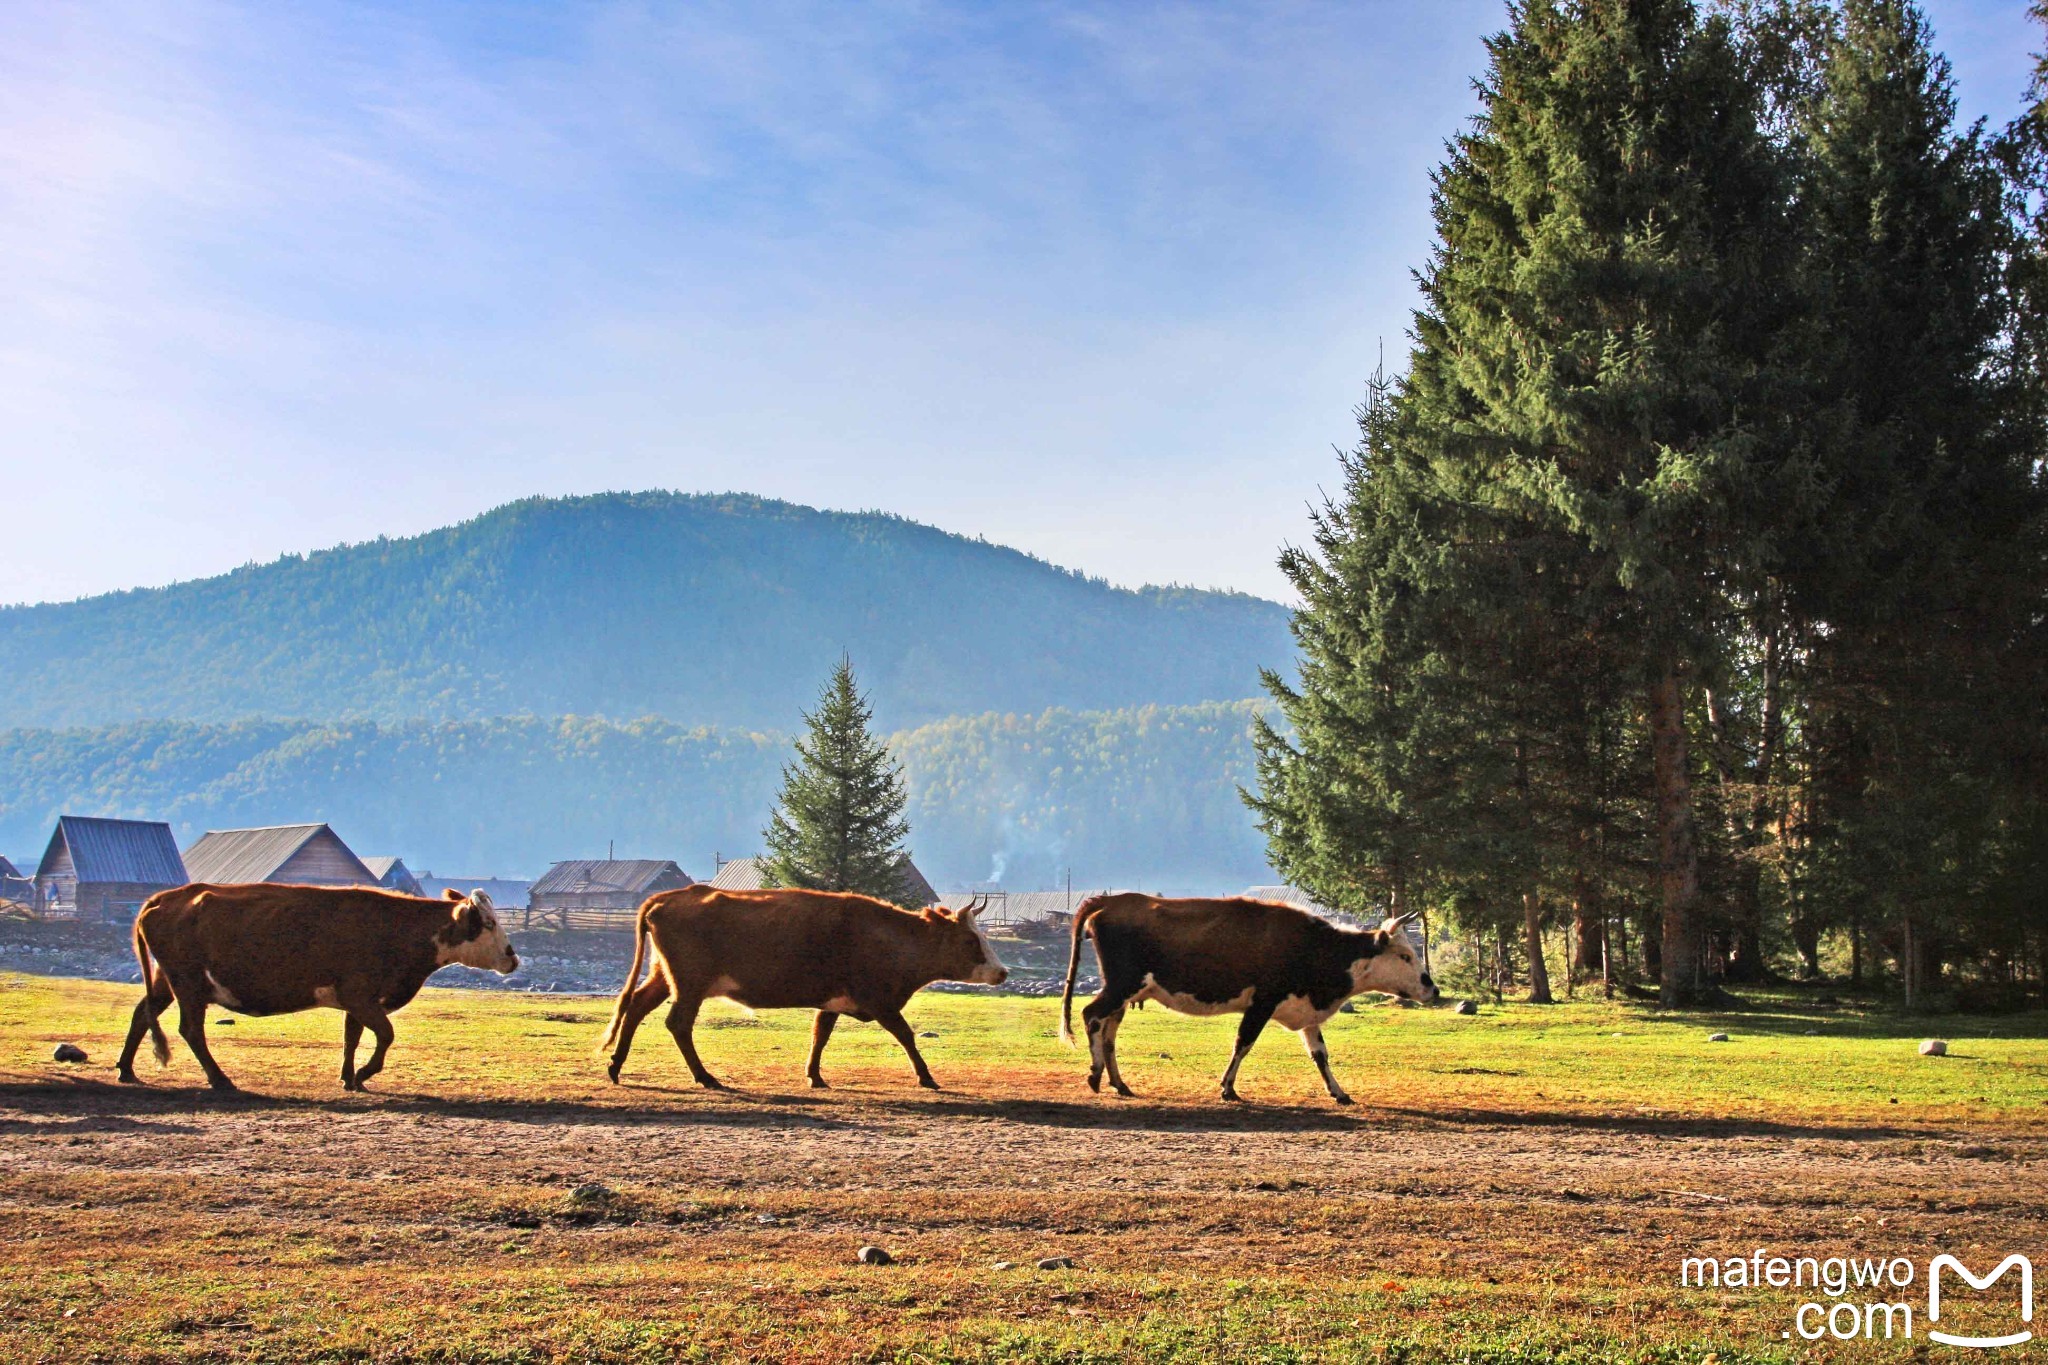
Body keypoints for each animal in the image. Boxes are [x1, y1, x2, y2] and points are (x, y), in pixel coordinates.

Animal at [117, 879, 520, 1096]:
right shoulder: (360, 995)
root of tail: (166, 897)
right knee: (190, 1029)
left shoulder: (358, 1000)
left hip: (165, 979)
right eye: (487, 923)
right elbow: (385, 1035)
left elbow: (352, 1037)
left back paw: (126, 1070)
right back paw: (220, 1079)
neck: (398, 928)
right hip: (187, 983)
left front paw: (349, 1078)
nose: (512, 957)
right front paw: (363, 1073)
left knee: (142, 1014)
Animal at [593, 879, 1007, 1096]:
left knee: (636, 1006)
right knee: (678, 1023)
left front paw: (815, 1076)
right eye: (971, 940)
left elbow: (820, 1034)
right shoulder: (879, 1000)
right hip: (690, 983)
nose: (1002, 973)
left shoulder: (834, 1000)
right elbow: (906, 1034)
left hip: (664, 975)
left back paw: (616, 1066)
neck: (890, 937)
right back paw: (705, 1077)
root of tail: (670, 895)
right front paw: (926, 1077)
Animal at [1056, 896, 1441, 1113]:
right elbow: (1243, 1043)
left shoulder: (1304, 1010)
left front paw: (1339, 1092)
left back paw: (1119, 1083)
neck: (1314, 947)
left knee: (1108, 1031)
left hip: (1124, 992)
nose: (1433, 989)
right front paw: (1228, 1088)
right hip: (1121, 985)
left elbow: (1320, 1054)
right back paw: (1095, 1075)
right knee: (1091, 1016)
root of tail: (1110, 902)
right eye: (1405, 955)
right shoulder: (1263, 1002)